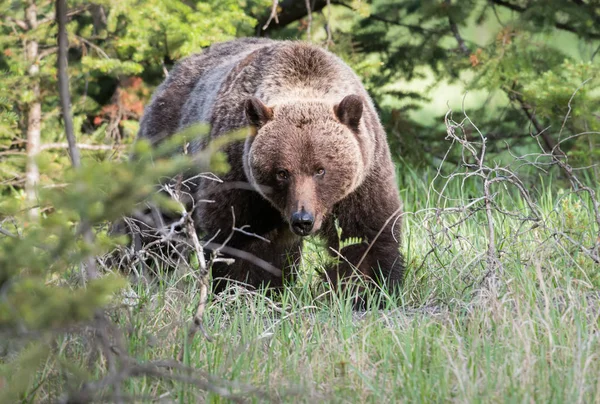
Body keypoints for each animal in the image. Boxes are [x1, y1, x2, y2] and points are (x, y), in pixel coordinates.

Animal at [134, 38, 404, 302]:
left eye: (321, 170)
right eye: (282, 172)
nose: (303, 220)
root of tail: (176, 69)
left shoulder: (365, 178)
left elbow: (367, 233)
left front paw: (369, 290)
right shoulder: (240, 177)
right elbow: (242, 240)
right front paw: (243, 292)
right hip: (168, 151)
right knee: (154, 224)